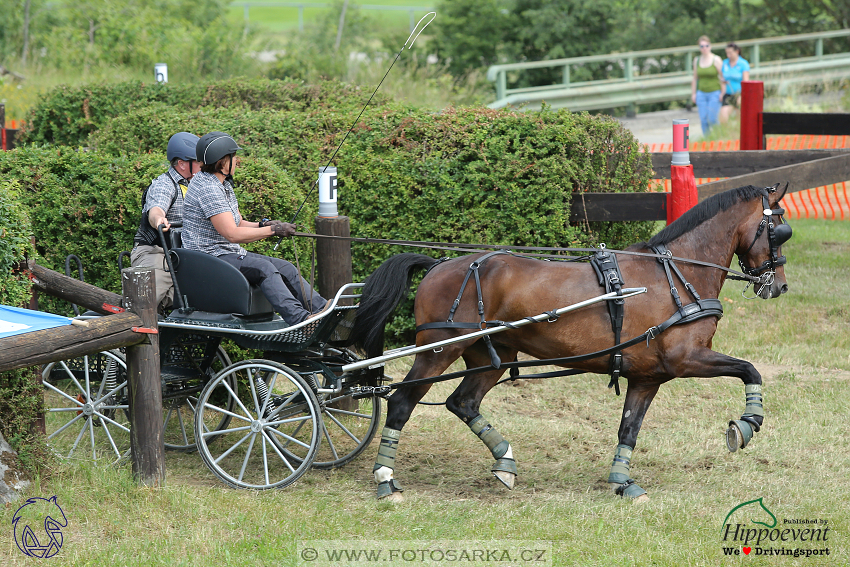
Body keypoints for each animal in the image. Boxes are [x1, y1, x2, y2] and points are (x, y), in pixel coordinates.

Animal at [350, 184, 788, 500]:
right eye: (780, 229)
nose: (779, 286)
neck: (677, 273)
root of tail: (439, 264)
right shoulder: (688, 359)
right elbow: (750, 370)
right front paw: (746, 425)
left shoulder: (647, 377)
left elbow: (629, 429)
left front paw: (622, 482)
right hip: (440, 350)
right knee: (402, 402)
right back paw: (386, 479)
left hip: (492, 354)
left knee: (463, 402)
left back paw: (505, 463)